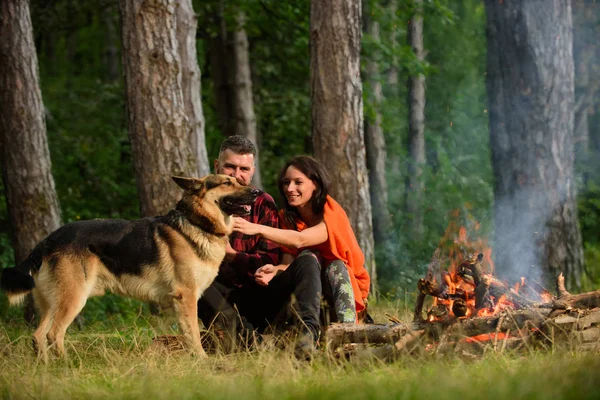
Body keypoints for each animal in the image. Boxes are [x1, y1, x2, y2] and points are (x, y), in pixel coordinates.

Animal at [0, 173, 255, 358]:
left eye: (238, 180)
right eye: (227, 182)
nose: (255, 192)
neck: (196, 222)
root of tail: (50, 238)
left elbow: (189, 332)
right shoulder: (186, 297)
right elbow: (192, 333)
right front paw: (201, 360)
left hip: (52, 302)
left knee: (38, 335)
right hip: (73, 298)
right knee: (54, 334)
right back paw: (66, 364)